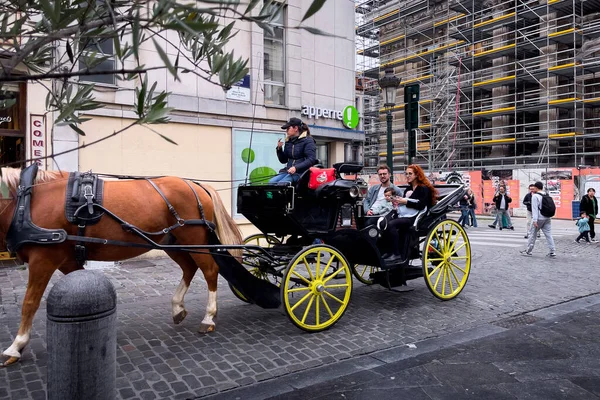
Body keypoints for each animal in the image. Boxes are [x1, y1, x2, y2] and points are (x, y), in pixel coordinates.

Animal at [0, 167, 244, 368]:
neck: (27, 200)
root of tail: (197, 185)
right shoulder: (68, 260)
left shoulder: (43, 258)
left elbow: (29, 303)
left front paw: (16, 346)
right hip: (172, 242)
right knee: (189, 268)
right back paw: (177, 308)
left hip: (194, 239)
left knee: (209, 270)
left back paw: (208, 317)